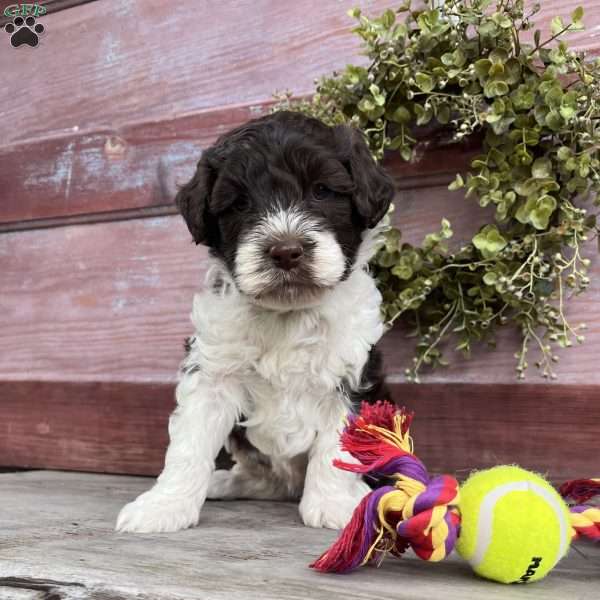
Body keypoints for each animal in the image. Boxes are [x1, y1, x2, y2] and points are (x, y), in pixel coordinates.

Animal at [116, 110, 396, 532]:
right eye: (240, 203)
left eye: (321, 191)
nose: (286, 251)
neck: (288, 313)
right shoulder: (211, 372)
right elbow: (188, 444)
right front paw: (164, 506)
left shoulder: (352, 374)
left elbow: (338, 447)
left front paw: (332, 504)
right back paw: (226, 481)